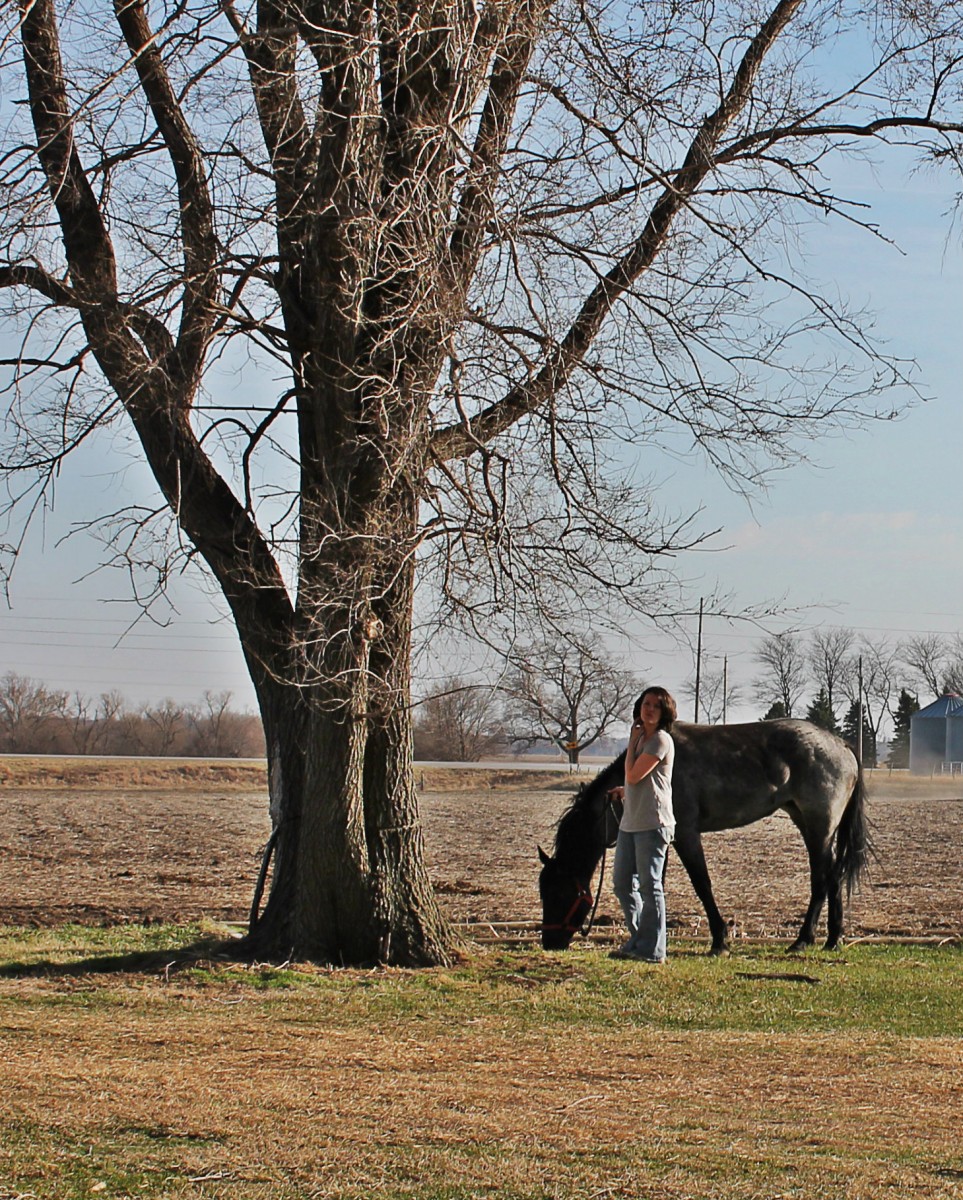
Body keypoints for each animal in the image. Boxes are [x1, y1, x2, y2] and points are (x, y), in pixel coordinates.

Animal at [535, 720, 864, 955]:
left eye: (558, 893)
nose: (550, 941)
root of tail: (841, 744)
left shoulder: (685, 834)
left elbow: (701, 884)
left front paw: (720, 941)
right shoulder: (660, 837)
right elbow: (654, 882)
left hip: (818, 827)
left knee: (821, 878)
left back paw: (803, 940)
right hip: (809, 824)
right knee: (833, 876)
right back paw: (832, 939)